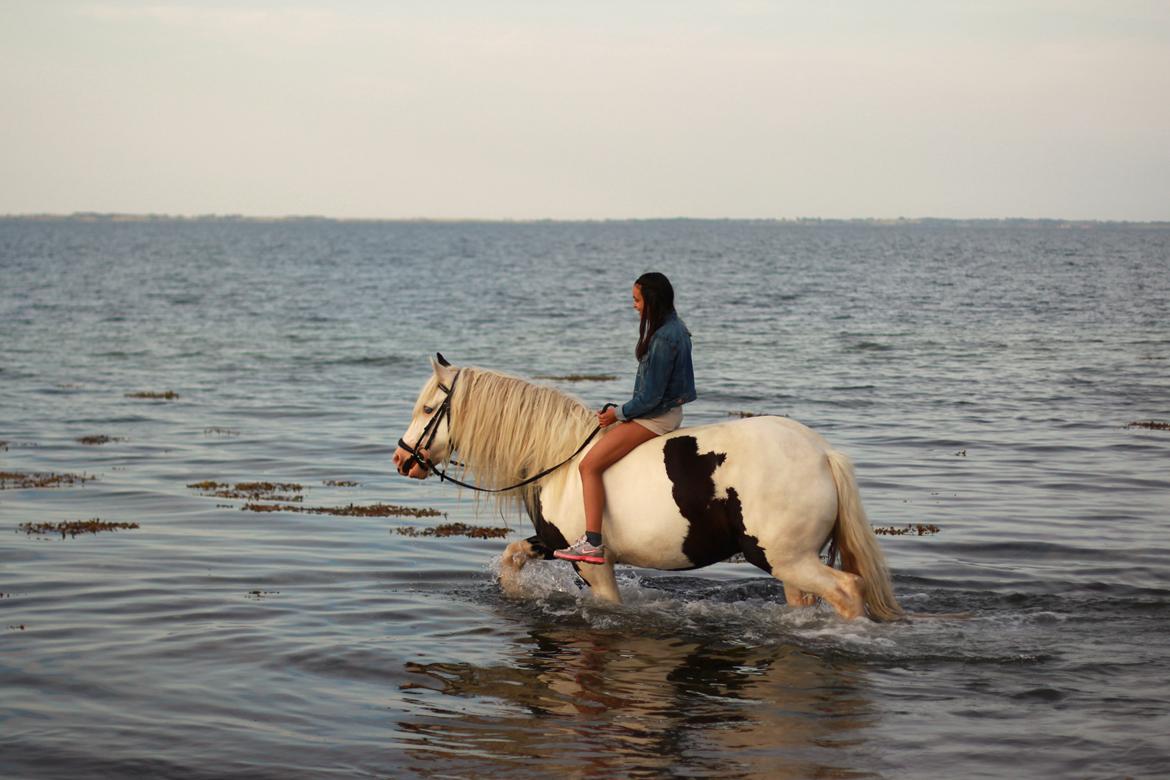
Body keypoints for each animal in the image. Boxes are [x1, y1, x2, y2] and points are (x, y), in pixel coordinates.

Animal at [393, 355, 903, 622]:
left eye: (428, 409)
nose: (401, 459)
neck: (561, 461)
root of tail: (822, 454)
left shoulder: (594, 564)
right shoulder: (554, 543)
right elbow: (512, 556)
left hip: (786, 557)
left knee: (848, 590)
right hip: (789, 564)